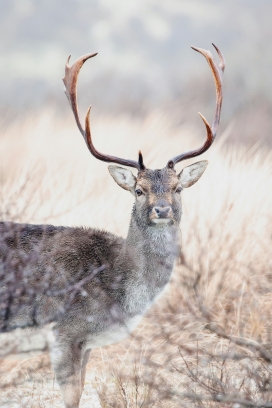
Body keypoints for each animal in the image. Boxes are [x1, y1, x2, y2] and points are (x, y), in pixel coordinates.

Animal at [0, 44, 224, 408]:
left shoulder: (88, 343)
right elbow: (73, 396)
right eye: (139, 189)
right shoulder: (66, 331)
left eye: (177, 187)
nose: (162, 210)